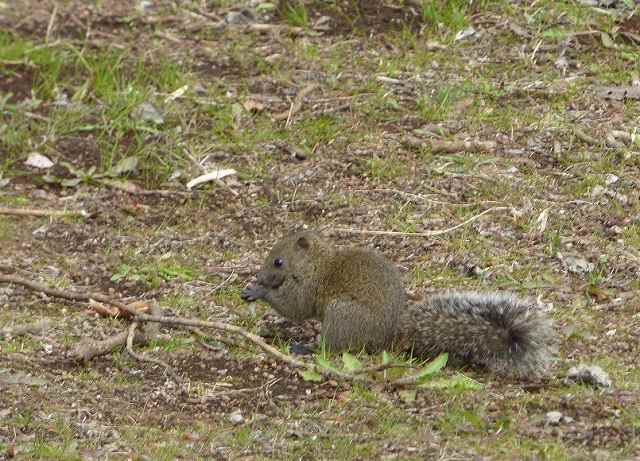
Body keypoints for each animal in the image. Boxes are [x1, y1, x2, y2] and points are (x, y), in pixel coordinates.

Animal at [241, 232, 556, 376]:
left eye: (278, 261)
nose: (260, 276)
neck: (314, 263)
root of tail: (390, 335)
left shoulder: (309, 287)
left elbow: (295, 308)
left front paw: (258, 291)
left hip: (342, 314)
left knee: (334, 348)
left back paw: (306, 348)